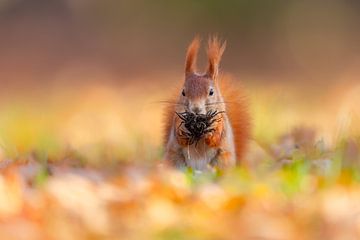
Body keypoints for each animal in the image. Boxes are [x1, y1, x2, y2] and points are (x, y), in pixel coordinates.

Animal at [163, 36, 250, 171]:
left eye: (211, 92)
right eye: (183, 92)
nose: (196, 109)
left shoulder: (221, 121)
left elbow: (216, 137)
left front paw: (209, 134)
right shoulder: (177, 119)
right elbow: (179, 136)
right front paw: (184, 133)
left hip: (222, 161)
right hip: (174, 160)